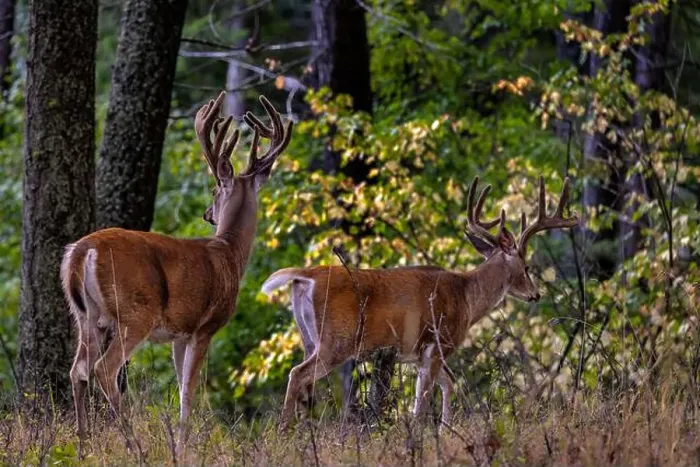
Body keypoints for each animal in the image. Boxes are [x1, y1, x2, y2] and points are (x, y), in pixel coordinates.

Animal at [60, 91, 293, 443]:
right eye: (215, 188)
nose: (208, 213)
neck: (230, 253)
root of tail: (81, 251)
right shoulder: (204, 326)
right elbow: (188, 392)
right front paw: (183, 443)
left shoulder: (178, 334)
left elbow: (181, 386)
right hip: (134, 312)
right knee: (104, 369)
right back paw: (134, 444)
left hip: (87, 316)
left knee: (78, 370)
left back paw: (83, 442)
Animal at [262, 175, 578, 430]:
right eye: (526, 267)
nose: (536, 294)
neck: (467, 297)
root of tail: (306, 275)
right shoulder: (437, 344)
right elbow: (424, 402)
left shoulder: (416, 354)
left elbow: (445, 387)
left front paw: (446, 431)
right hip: (336, 340)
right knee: (297, 374)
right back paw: (284, 433)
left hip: (308, 338)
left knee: (303, 381)